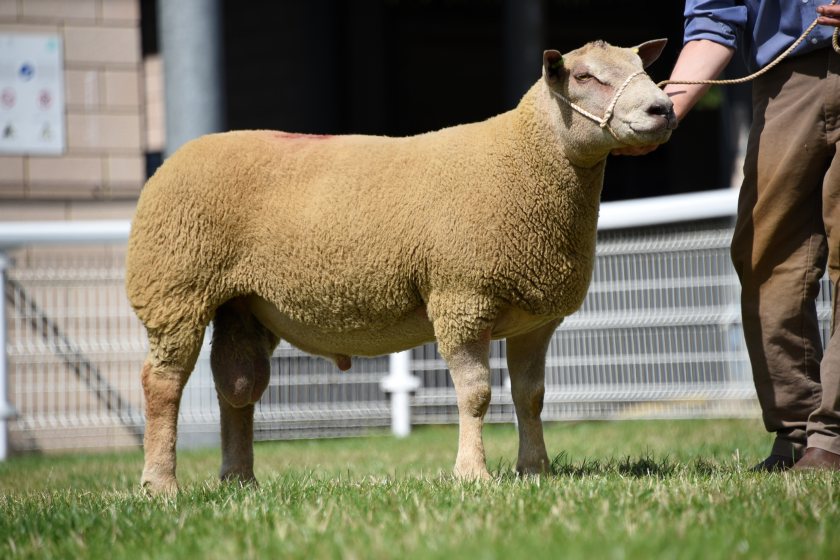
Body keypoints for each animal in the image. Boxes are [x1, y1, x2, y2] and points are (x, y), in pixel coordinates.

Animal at [124, 38, 676, 494]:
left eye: (642, 68)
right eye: (583, 76)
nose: (663, 107)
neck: (523, 160)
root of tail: (175, 159)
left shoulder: (534, 318)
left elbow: (530, 397)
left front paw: (534, 471)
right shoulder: (462, 297)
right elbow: (476, 394)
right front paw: (473, 474)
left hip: (242, 304)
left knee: (238, 389)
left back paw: (240, 481)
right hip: (176, 289)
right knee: (163, 383)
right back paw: (161, 486)